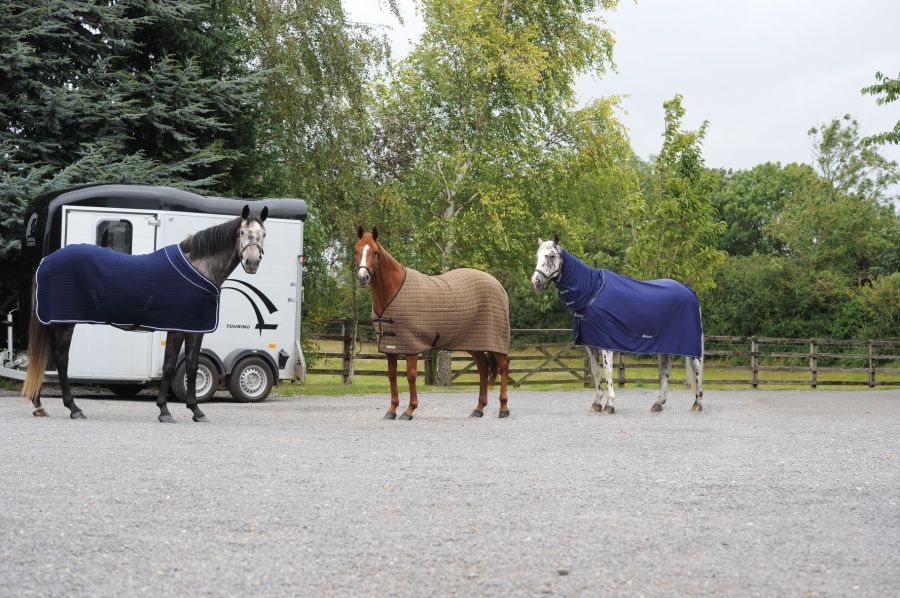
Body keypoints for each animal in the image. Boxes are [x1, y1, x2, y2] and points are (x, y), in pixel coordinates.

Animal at [21, 205, 268, 423]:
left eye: (263, 234)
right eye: (243, 233)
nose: (252, 262)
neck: (199, 268)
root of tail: (45, 261)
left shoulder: (195, 330)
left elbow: (192, 367)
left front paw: (196, 411)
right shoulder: (177, 329)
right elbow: (169, 367)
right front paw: (164, 411)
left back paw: (40, 405)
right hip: (63, 323)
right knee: (61, 361)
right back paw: (73, 408)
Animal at [354, 225, 512, 419]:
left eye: (375, 252)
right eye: (356, 250)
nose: (363, 278)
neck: (393, 291)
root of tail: (498, 286)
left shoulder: (411, 345)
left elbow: (411, 376)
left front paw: (409, 410)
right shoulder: (391, 346)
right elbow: (392, 376)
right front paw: (391, 410)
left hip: (495, 341)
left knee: (504, 367)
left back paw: (503, 408)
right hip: (474, 342)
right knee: (483, 368)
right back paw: (479, 408)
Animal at [531, 236, 704, 414]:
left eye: (551, 256)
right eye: (538, 256)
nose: (535, 281)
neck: (592, 292)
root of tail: (690, 292)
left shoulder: (606, 343)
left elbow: (608, 372)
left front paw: (610, 404)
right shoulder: (590, 344)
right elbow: (595, 371)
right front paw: (597, 402)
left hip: (690, 346)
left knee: (697, 368)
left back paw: (697, 403)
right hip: (664, 345)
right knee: (665, 370)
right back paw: (658, 403)